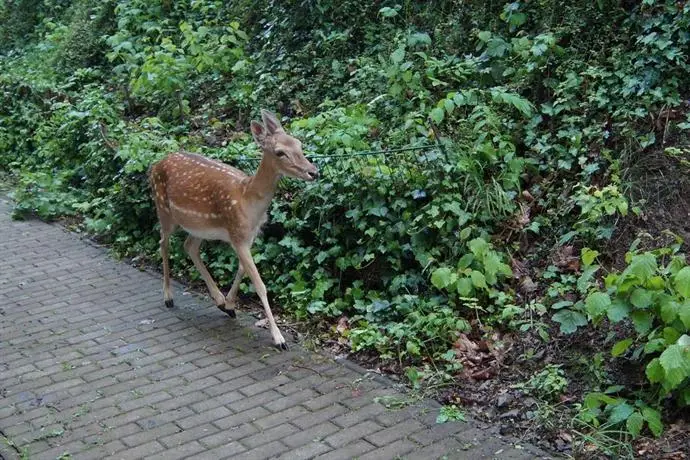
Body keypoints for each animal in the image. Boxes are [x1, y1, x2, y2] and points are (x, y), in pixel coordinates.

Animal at [147, 110, 318, 348]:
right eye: (280, 152)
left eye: (299, 144)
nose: (313, 172)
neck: (248, 199)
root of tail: (155, 165)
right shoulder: (237, 234)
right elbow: (260, 284)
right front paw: (279, 338)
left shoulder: (248, 237)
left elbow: (241, 269)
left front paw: (229, 304)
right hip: (163, 209)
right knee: (163, 244)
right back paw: (168, 297)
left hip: (198, 227)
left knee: (189, 246)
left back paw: (218, 300)